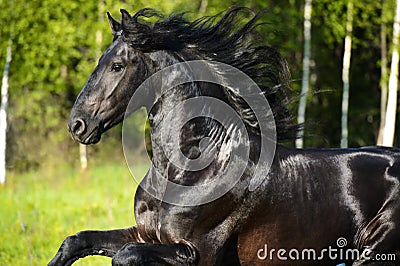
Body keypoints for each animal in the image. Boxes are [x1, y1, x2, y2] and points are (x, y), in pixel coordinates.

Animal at [49, 7, 400, 264]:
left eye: (117, 66)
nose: (77, 124)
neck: (191, 169)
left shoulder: (195, 252)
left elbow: (125, 256)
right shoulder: (144, 233)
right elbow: (76, 241)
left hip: (373, 252)